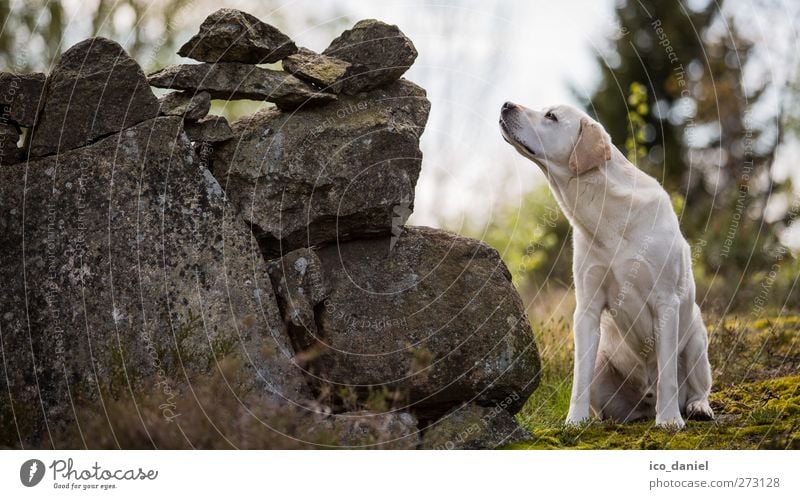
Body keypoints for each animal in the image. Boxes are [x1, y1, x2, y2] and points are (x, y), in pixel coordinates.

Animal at [500, 102, 712, 430]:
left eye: (551, 116)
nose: (506, 104)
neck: (605, 211)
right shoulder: (587, 307)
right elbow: (579, 378)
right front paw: (575, 421)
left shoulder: (666, 301)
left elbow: (667, 374)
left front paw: (668, 420)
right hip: (605, 363)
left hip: (696, 340)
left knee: (697, 386)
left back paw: (696, 407)